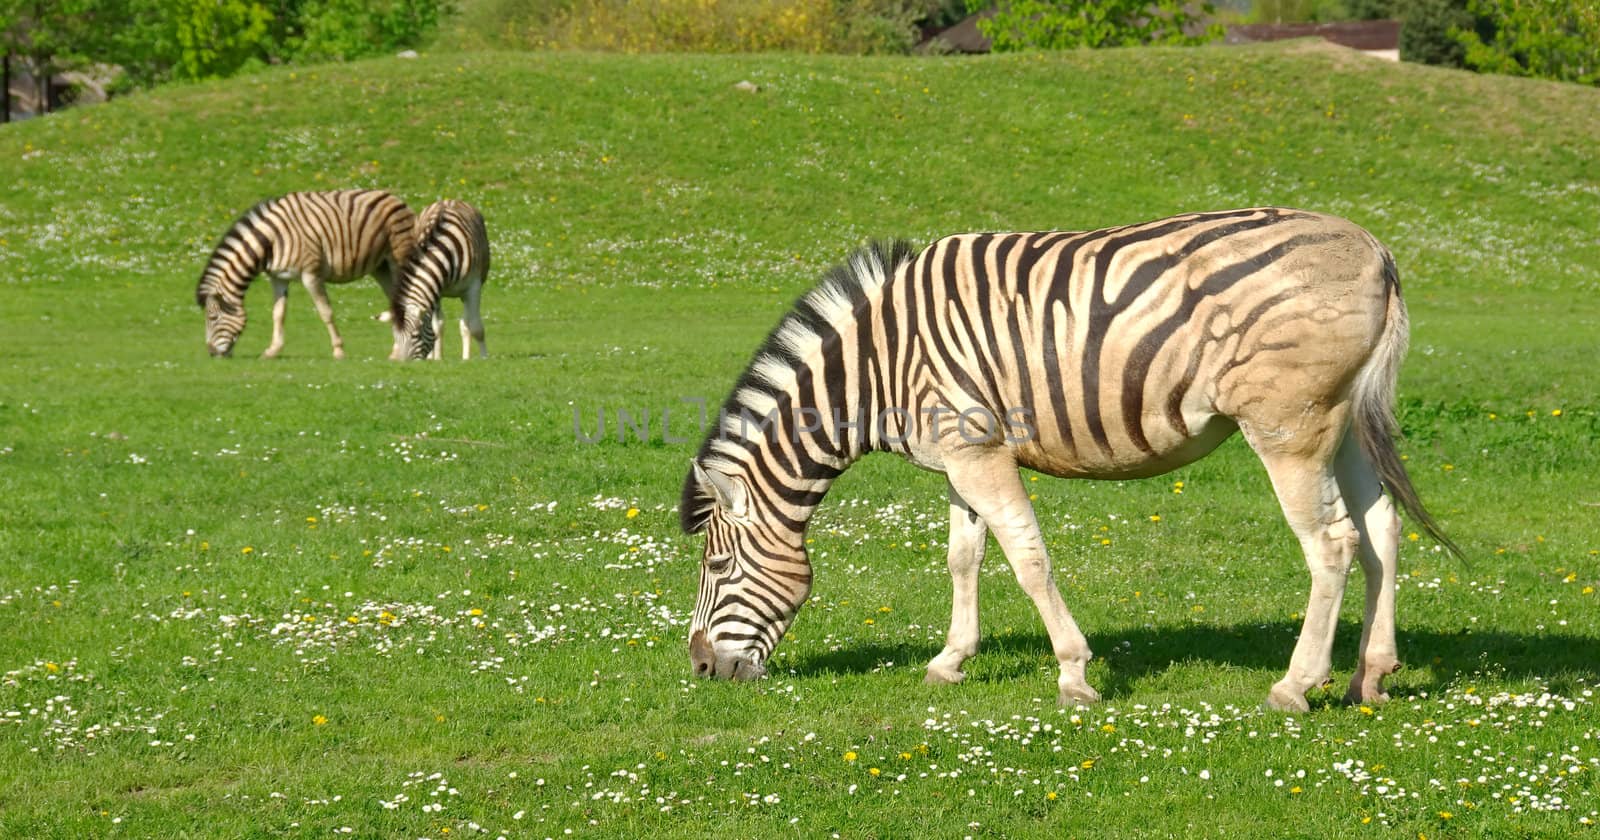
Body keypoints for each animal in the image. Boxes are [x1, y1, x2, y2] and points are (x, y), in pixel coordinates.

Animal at [194, 188, 416, 358]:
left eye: (212, 318)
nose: (212, 353)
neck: (272, 241)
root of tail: (395, 197)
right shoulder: (278, 278)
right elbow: (278, 313)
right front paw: (272, 351)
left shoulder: (311, 275)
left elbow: (325, 311)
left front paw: (338, 350)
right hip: (381, 267)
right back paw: (396, 351)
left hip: (398, 259)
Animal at [387, 201, 486, 361]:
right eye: (395, 337)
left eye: (415, 336)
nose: (396, 361)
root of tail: (449, 200)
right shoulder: (435, 290)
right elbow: (436, 327)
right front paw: (436, 359)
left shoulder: (473, 288)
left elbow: (476, 327)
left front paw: (484, 357)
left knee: (465, 324)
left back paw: (465, 357)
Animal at [681, 208, 1459, 707]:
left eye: (716, 566)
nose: (701, 669)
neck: (879, 366)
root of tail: (1375, 251)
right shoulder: (962, 457)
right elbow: (964, 559)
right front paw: (949, 662)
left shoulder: (978, 450)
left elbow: (1028, 558)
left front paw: (1074, 675)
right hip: (1344, 421)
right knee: (1382, 532)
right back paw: (1370, 676)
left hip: (1286, 425)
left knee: (1332, 543)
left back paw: (1296, 686)